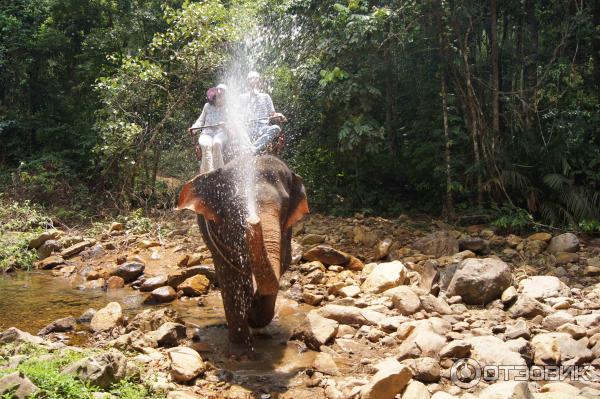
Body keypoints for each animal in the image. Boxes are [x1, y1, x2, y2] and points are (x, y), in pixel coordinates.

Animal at [175, 154, 310, 356]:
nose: (252, 219)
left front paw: (254, 315)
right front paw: (241, 354)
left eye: (286, 204)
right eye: (236, 204)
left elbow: (283, 261)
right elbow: (229, 271)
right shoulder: (219, 228)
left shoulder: (287, 229)